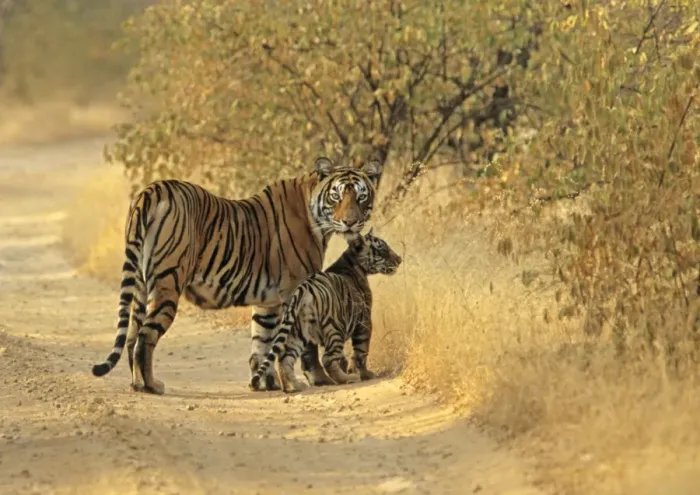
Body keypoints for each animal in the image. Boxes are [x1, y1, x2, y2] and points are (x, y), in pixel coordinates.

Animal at [90, 156, 383, 395]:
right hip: (168, 282)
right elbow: (301, 344)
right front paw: (317, 379)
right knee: (145, 336)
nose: (350, 222)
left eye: (361, 197)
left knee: (131, 335)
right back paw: (152, 386)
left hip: (140, 284)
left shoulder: (269, 302)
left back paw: (137, 384)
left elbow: (263, 342)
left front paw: (264, 383)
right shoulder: (300, 292)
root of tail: (152, 190)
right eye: (336, 196)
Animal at [249, 229, 402, 393]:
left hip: (297, 331)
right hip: (335, 328)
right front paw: (365, 374)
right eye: (382, 249)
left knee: (286, 357)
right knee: (327, 359)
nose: (399, 259)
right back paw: (347, 379)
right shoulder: (365, 320)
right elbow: (361, 350)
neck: (352, 261)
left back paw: (294, 387)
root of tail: (304, 288)